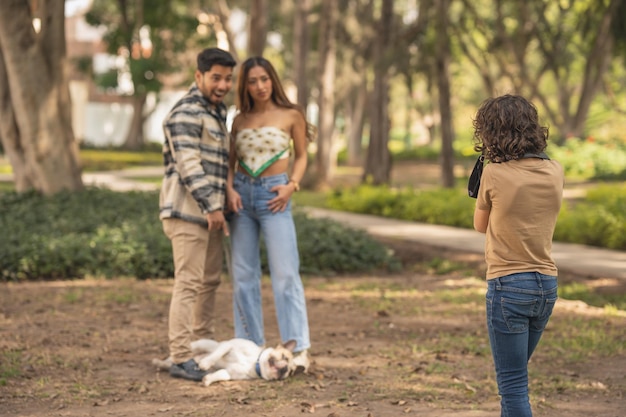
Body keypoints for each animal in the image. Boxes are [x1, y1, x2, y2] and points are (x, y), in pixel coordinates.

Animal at [152, 336, 296, 386]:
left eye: (289, 372)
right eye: (284, 357)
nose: (284, 369)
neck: (256, 364)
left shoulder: (230, 373)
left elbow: (220, 374)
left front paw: (208, 379)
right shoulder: (228, 346)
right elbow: (217, 354)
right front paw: (205, 364)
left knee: (170, 364)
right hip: (198, 345)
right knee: (172, 359)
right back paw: (158, 362)